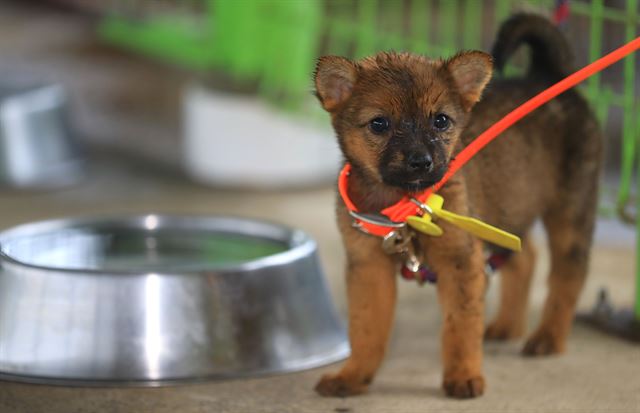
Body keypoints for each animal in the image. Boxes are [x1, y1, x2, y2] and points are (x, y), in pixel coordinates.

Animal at [312, 14, 604, 398]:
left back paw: (548, 337)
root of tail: (549, 75)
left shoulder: (460, 261)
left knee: (568, 273)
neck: (406, 206)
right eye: (379, 124)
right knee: (526, 257)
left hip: (570, 211)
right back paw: (508, 325)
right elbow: (365, 328)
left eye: (440, 120)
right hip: (505, 210)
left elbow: (460, 326)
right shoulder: (368, 266)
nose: (421, 161)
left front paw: (464, 375)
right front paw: (354, 375)